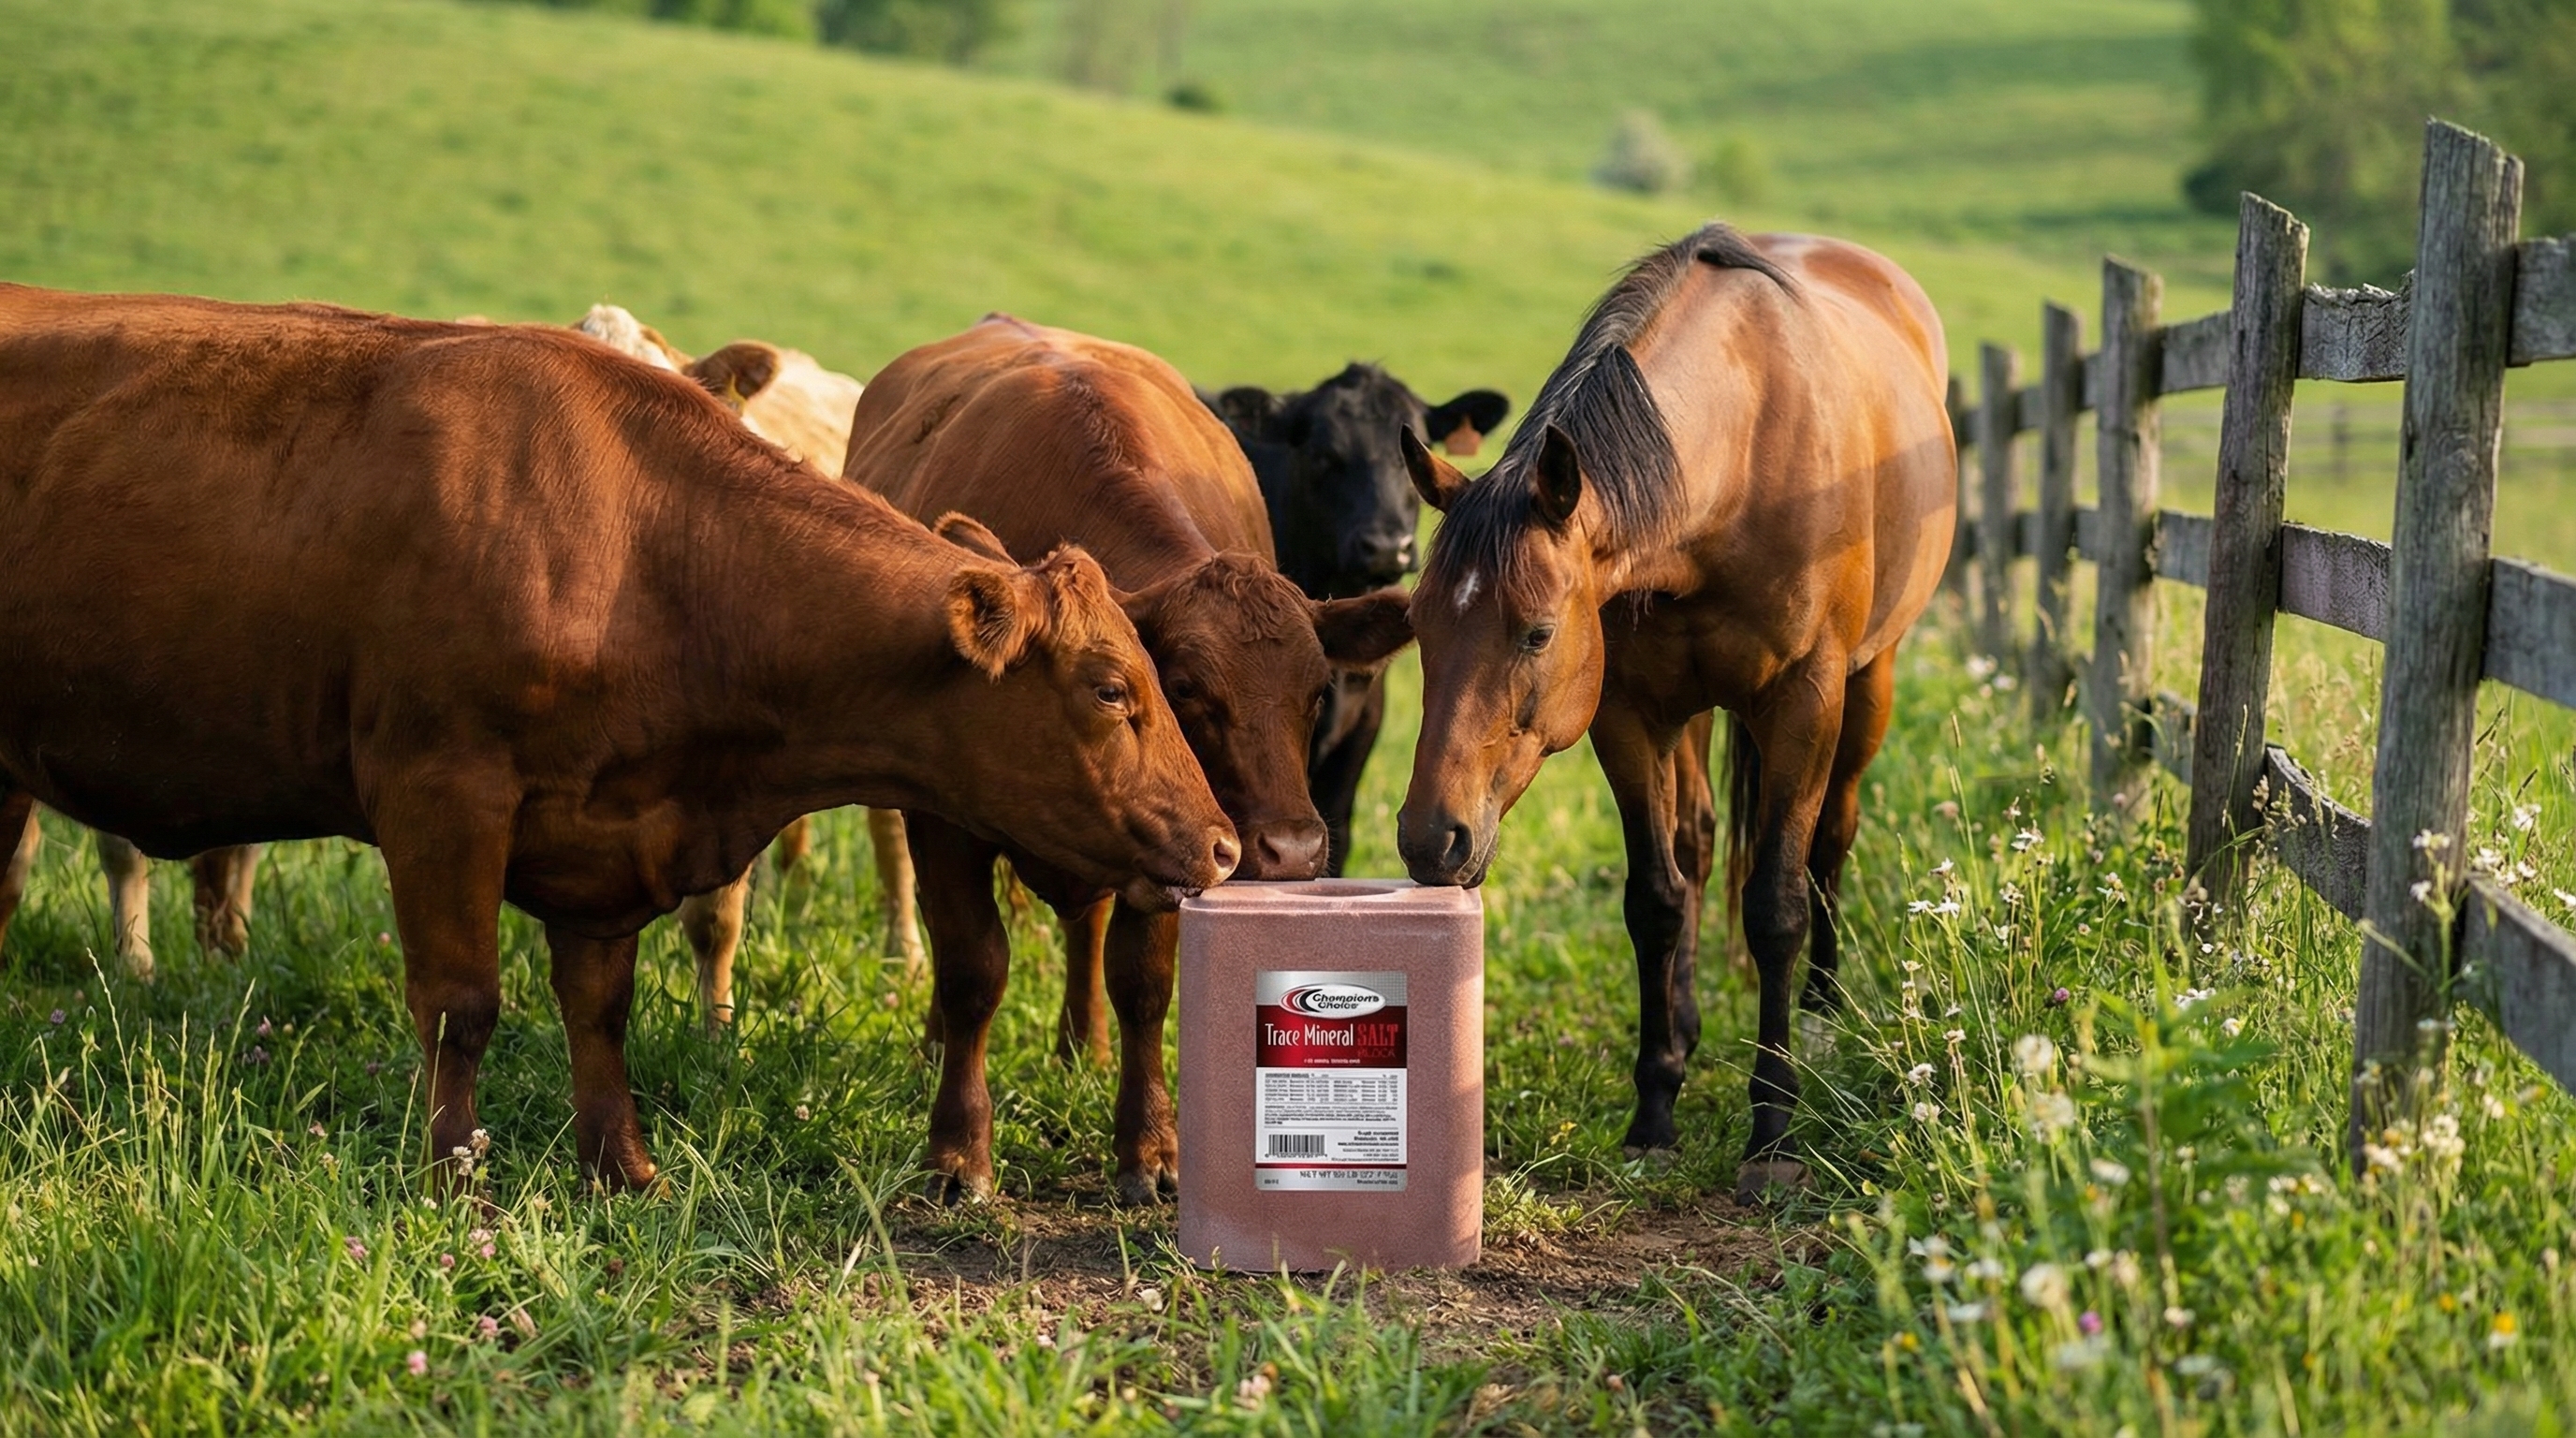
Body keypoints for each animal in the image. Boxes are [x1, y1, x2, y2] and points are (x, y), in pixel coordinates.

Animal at [0, 286, 1237, 1190]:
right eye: (1112, 689)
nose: (1223, 845)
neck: (640, 542)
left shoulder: (605, 832)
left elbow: (599, 1006)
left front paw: (622, 1168)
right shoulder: (439, 794)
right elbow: (459, 1005)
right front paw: (452, 1174)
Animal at [850, 316, 1415, 1204]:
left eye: (1319, 690)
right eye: (1183, 688)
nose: (1294, 850)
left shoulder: (1184, 838)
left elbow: (1142, 982)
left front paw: (1148, 1146)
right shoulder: (944, 824)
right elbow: (972, 968)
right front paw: (958, 1152)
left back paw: (1084, 1046)